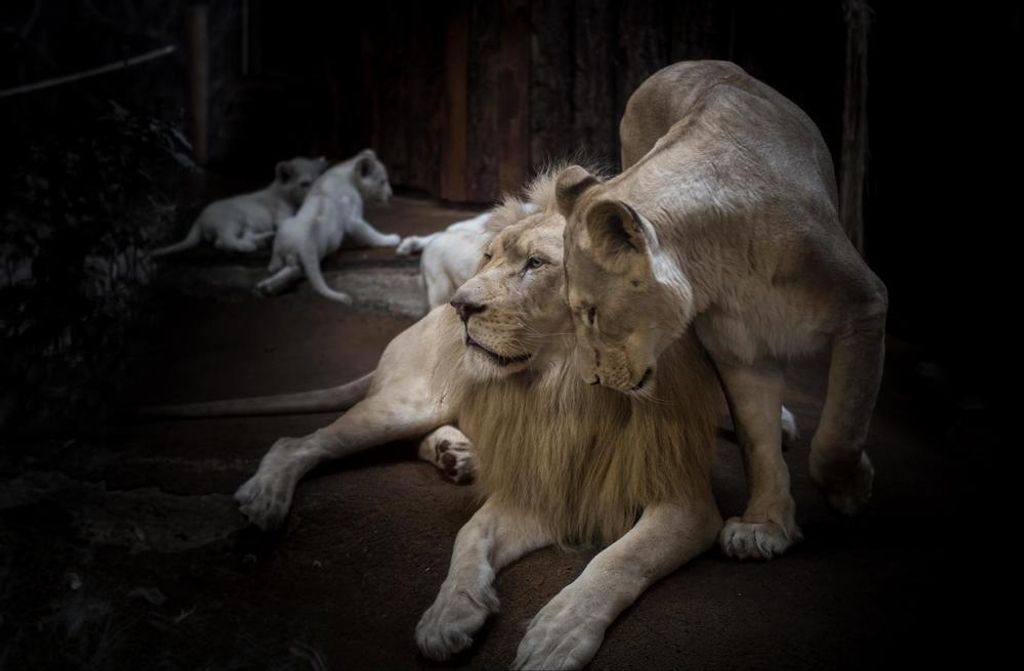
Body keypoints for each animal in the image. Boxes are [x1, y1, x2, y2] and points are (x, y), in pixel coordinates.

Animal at [151, 156, 328, 257]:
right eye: (305, 184)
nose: (319, 192)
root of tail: (200, 218)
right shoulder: (282, 216)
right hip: (232, 218)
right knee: (223, 240)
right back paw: (246, 246)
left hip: (245, 225)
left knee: (230, 239)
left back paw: (264, 240)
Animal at [231, 170, 723, 669]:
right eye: (488, 256)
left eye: (535, 264)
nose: (459, 305)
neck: (567, 388)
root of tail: (421, 320)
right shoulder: (543, 482)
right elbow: (471, 533)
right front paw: (449, 612)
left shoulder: (685, 502)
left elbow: (620, 559)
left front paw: (558, 631)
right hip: (410, 403)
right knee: (296, 442)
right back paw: (266, 499)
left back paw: (456, 456)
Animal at [556, 60, 888, 561]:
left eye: (592, 313)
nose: (590, 381)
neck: (723, 262)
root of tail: (687, 63)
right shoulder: (741, 352)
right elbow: (758, 443)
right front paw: (763, 525)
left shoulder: (864, 306)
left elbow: (839, 429)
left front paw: (851, 488)